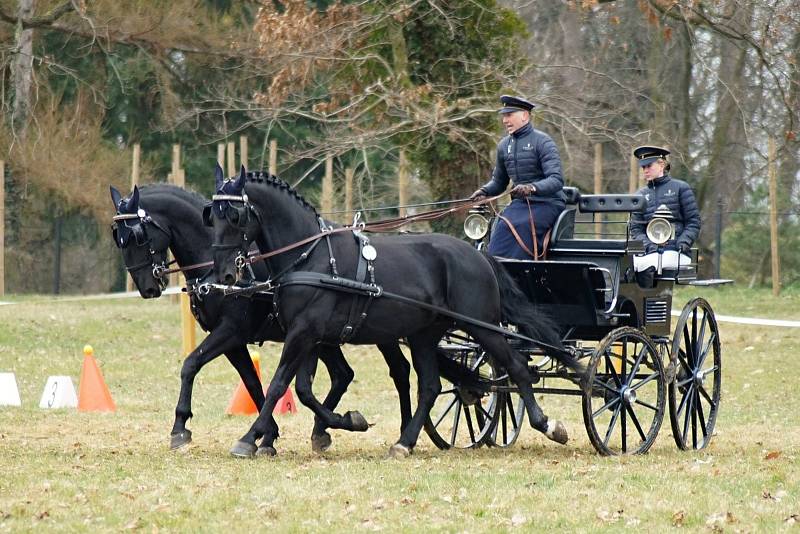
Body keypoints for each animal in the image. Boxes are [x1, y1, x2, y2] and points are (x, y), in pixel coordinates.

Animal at [109, 185, 412, 456]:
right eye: (118, 238)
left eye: (137, 236)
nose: (147, 287)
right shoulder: (234, 341)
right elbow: (252, 383)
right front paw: (267, 436)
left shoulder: (231, 330)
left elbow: (190, 364)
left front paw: (180, 428)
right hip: (327, 338)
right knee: (343, 374)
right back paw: (324, 430)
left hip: (376, 333)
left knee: (399, 371)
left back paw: (403, 433)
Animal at [206, 165, 580, 458]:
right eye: (212, 216)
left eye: (235, 216)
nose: (225, 274)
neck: (310, 255)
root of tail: (479, 255)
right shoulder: (307, 336)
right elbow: (301, 389)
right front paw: (342, 423)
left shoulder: (304, 333)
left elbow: (279, 385)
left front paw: (249, 439)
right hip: (425, 335)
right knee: (430, 386)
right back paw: (405, 442)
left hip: (483, 327)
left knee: (517, 367)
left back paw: (548, 424)